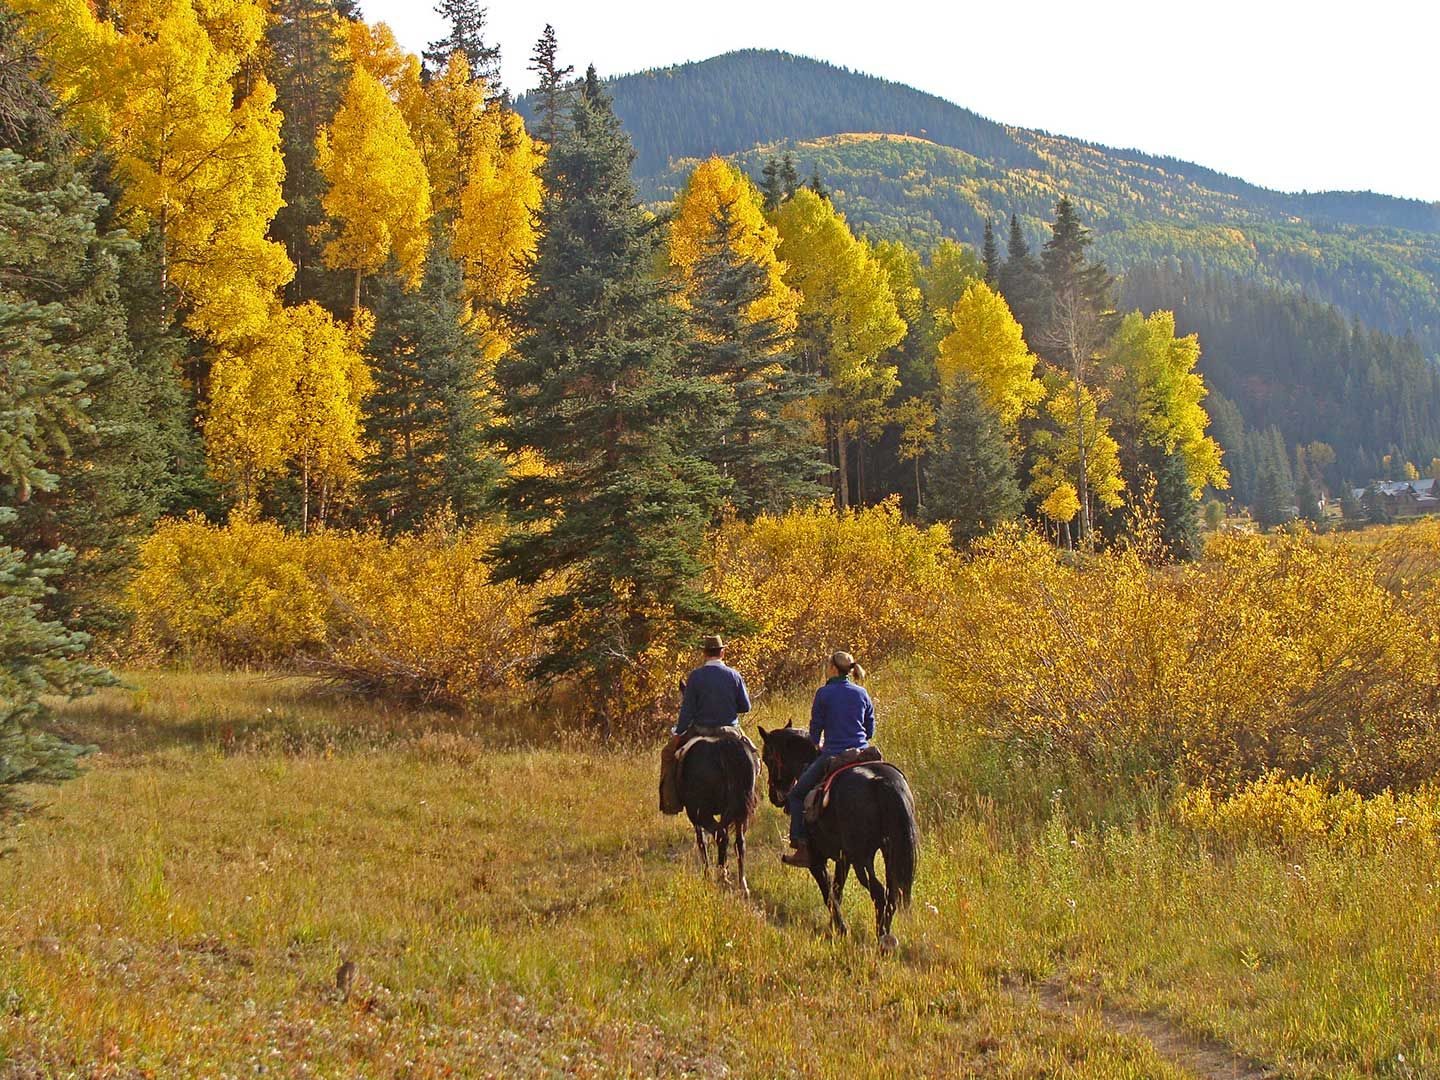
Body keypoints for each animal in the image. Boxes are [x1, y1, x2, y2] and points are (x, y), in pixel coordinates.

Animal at [676, 737, 760, 898]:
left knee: (721, 836)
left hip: (701, 813)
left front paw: (707, 875)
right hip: (739, 815)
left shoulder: (696, 816)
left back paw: (722, 878)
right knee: (739, 843)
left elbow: (702, 842)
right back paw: (742, 885)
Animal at [760, 722, 915, 950]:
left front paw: (840, 929)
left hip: (863, 858)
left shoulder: (816, 859)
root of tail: (881, 782)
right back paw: (887, 939)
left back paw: (882, 940)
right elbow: (837, 891)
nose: (774, 796)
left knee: (879, 894)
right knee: (892, 894)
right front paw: (834, 926)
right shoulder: (844, 859)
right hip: (888, 853)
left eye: (767, 758)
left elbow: (828, 893)